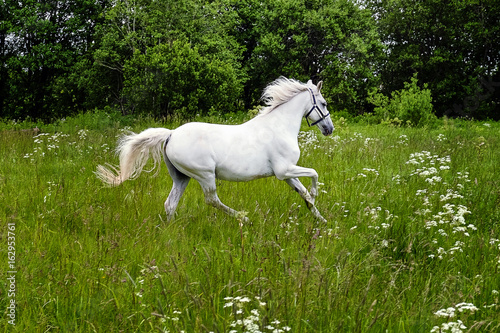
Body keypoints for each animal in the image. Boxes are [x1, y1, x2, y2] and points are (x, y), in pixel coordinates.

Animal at [95, 77, 334, 222]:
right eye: (323, 103)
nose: (329, 129)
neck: (279, 126)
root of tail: (171, 134)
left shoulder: (286, 173)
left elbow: (303, 192)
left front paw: (321, 220)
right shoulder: (284, 170)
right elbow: (314, 174)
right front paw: (316, 196)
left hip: (181, 177)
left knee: (170, 204)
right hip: (205, 175)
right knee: (211, 200)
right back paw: (244, 218)